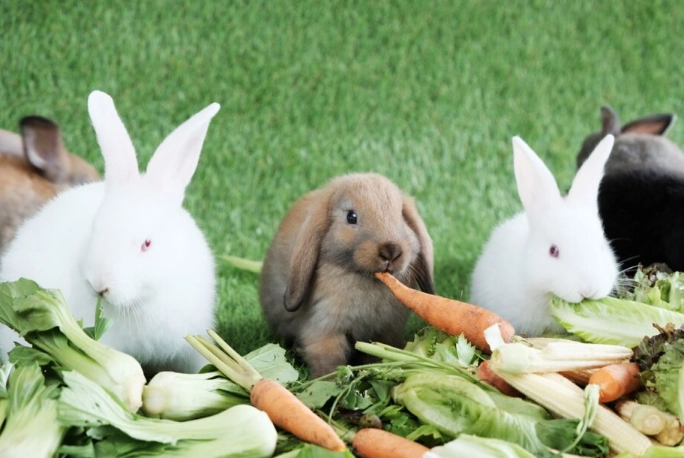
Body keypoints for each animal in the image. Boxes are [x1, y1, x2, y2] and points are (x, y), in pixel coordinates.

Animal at [259, 173, 435, 378]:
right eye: (351, 217)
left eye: (401, 215)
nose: (390, 251)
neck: (367, 279)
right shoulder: (324, 329)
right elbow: (328, 360)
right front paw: (328, 381)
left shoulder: (386, 331)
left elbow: (377, 354)